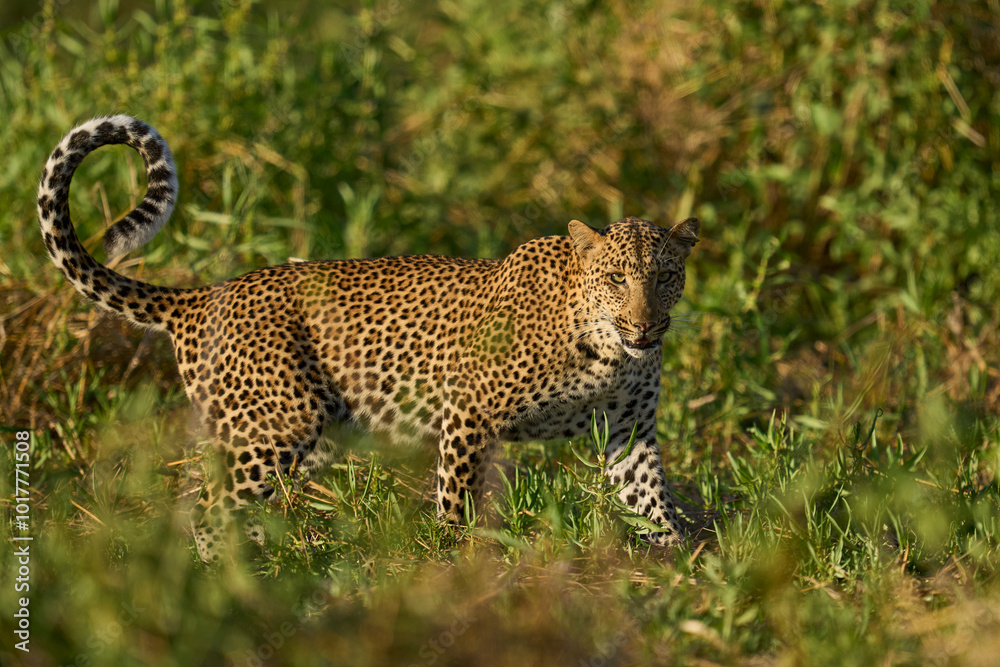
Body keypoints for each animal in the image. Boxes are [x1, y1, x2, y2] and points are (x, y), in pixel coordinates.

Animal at [37, 115, 700, 562]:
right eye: (616, 278)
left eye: (665, 276)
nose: (646, 325)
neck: (606, 353)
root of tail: (201, 297)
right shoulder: (470, 411)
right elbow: (457, 498)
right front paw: (455, 560)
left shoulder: (630, 429)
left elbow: (650, 496)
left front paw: (681, 561)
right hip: (276, 424)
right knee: (206, 511)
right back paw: (231, 580)